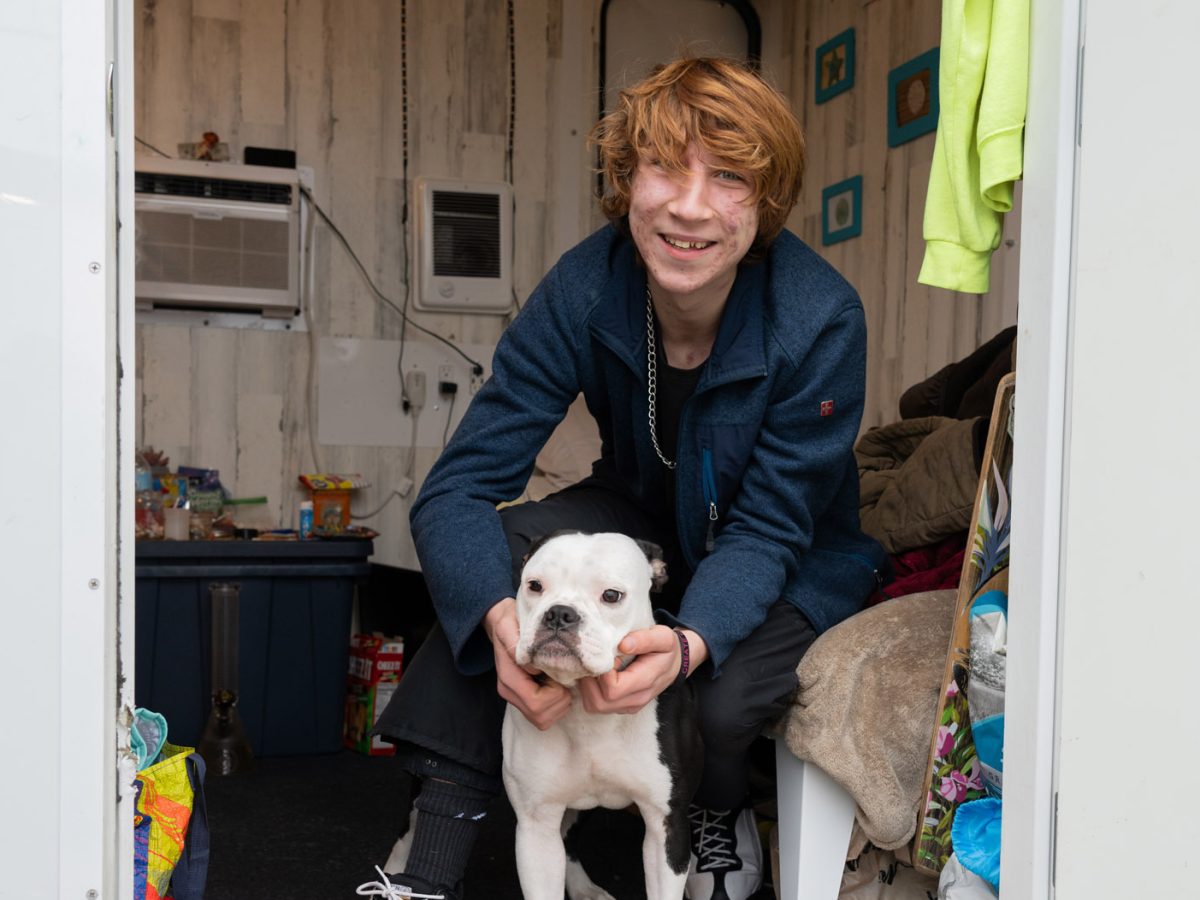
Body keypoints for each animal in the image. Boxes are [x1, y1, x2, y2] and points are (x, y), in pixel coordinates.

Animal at [504, 532, 705, 900]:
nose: (559, 613)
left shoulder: (667, 826)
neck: (586, 710)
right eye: (534, 585)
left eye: (611, 596)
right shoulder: (536, 826)